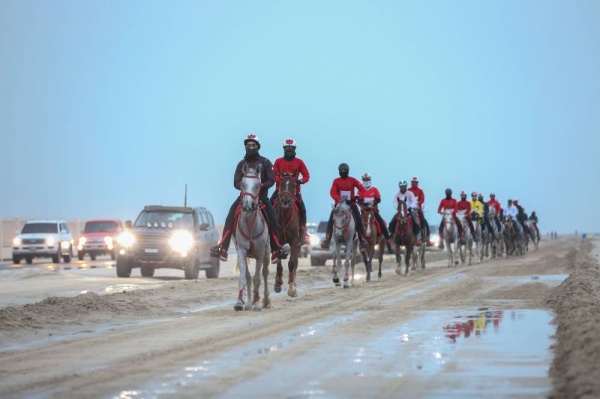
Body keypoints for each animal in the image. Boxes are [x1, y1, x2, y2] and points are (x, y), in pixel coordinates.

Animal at [233, 164, 270, 310]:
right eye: (242, 184)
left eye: (257, 185)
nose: (247, 205)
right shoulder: (241, 251)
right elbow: (244, 277)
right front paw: (240, 302)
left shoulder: (260, 252)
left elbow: (257, 278)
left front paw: (257, 303)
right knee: (249, 277)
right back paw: (249, 303)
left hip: (267, 253)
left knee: (265, 273)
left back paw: (264, 300)